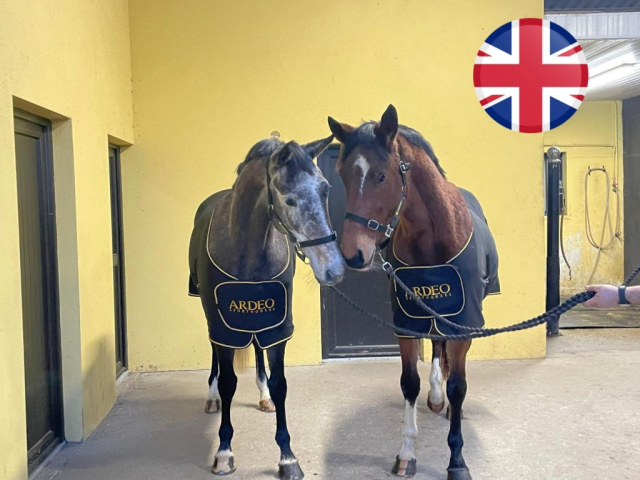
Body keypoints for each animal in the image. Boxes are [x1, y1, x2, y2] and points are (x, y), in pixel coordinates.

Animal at [328, 106, 498, 480]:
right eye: (343, 176)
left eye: (381, 176)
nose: (353, 255)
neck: (432, 239)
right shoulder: (406, 322)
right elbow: (409, 382)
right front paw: (407, 453)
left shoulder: (463, 323)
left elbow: (458, 386)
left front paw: (457, 461)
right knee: (435, 348)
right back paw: (435, 398)